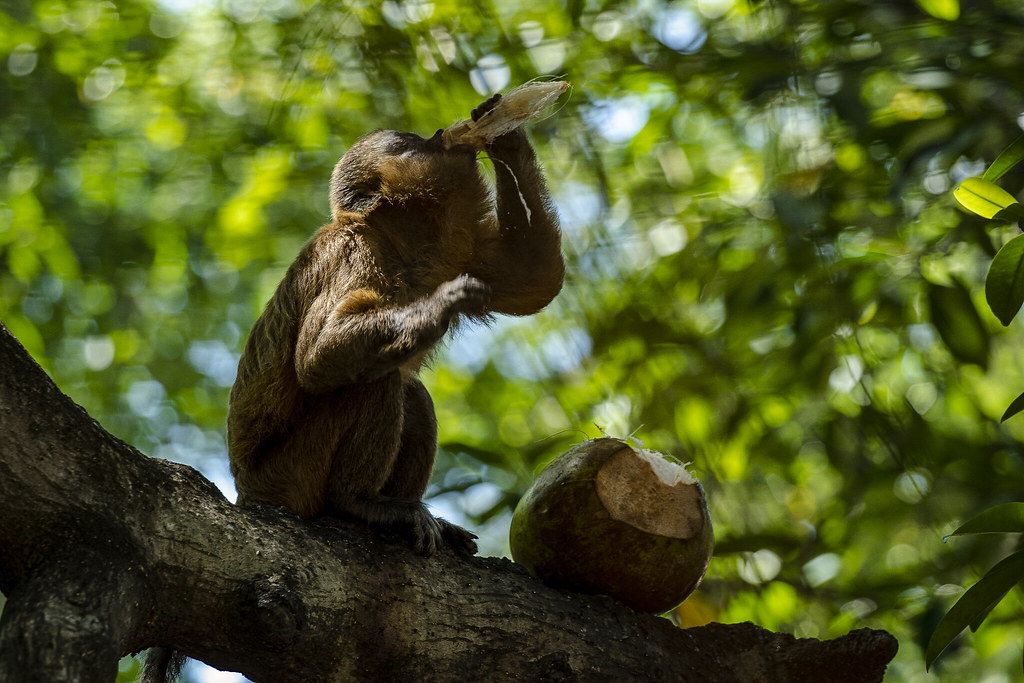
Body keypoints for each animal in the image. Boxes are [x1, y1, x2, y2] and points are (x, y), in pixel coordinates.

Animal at [225, 94, 564, 555]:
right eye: (410, 145)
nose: (439, 135)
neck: (397, 248)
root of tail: (246, 491)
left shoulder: (452, 251)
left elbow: (536, 277)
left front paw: (504, 135)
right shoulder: (352, 252)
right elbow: (317, 358)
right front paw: (442, 303)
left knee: (412, 393)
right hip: (287, 479)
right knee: (375, 381)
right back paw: (355, 501)